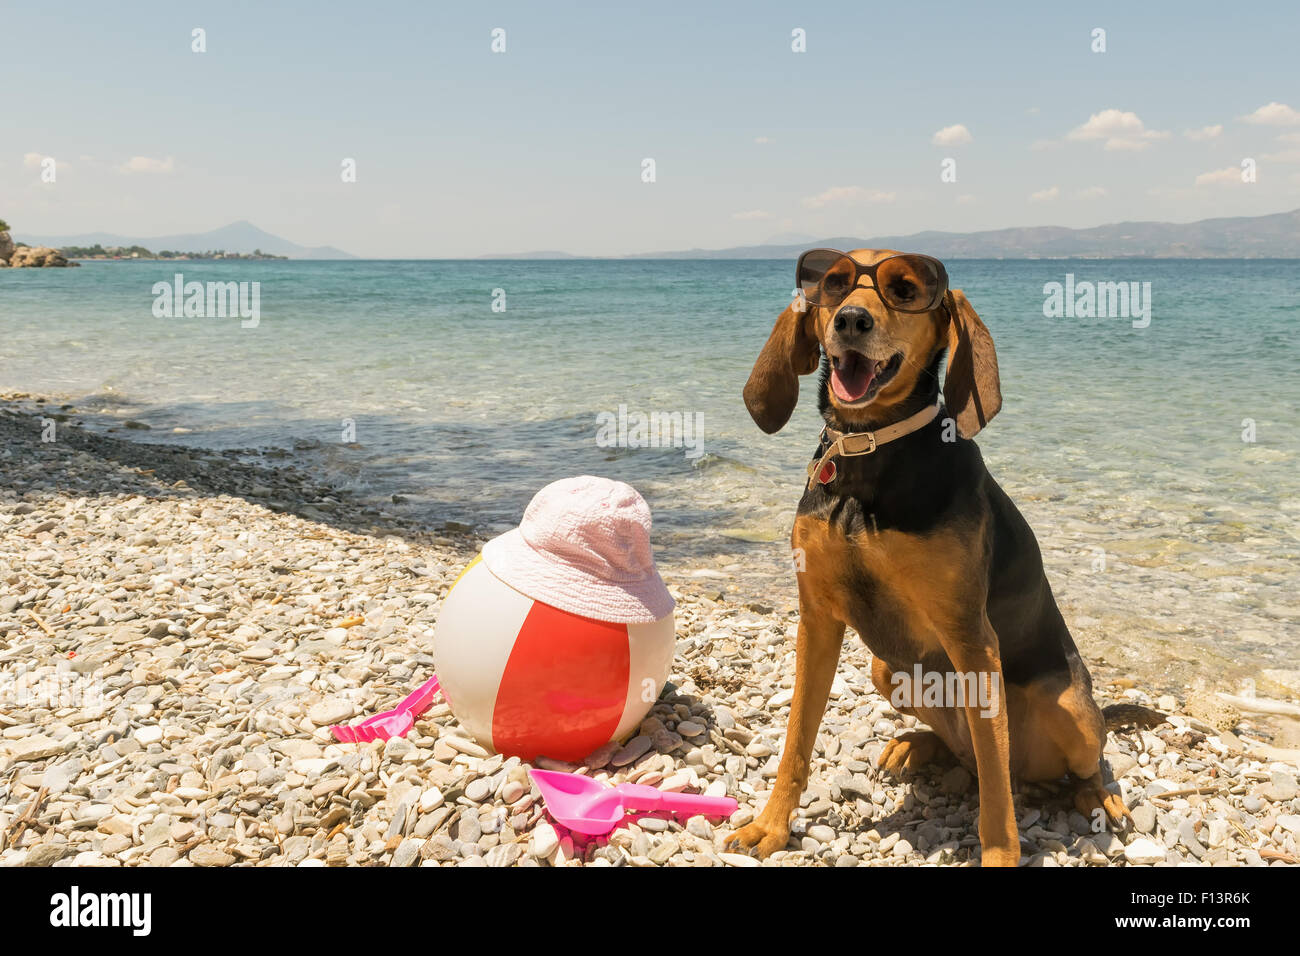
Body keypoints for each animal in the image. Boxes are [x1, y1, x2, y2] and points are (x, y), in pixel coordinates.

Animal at [728, 247, 1164, 868]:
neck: (871, 453)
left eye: (905, 289)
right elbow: (795, 741)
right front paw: (770, 825)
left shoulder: (972, 638)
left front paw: (1000, 856)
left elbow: (998, 804)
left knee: (1056, 765)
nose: (852, 320)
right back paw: (919, 745)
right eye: (833, 283)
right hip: (887, 668)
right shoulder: (816, 618)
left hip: (1071, 708)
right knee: (970, 755)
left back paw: (1098, 796)